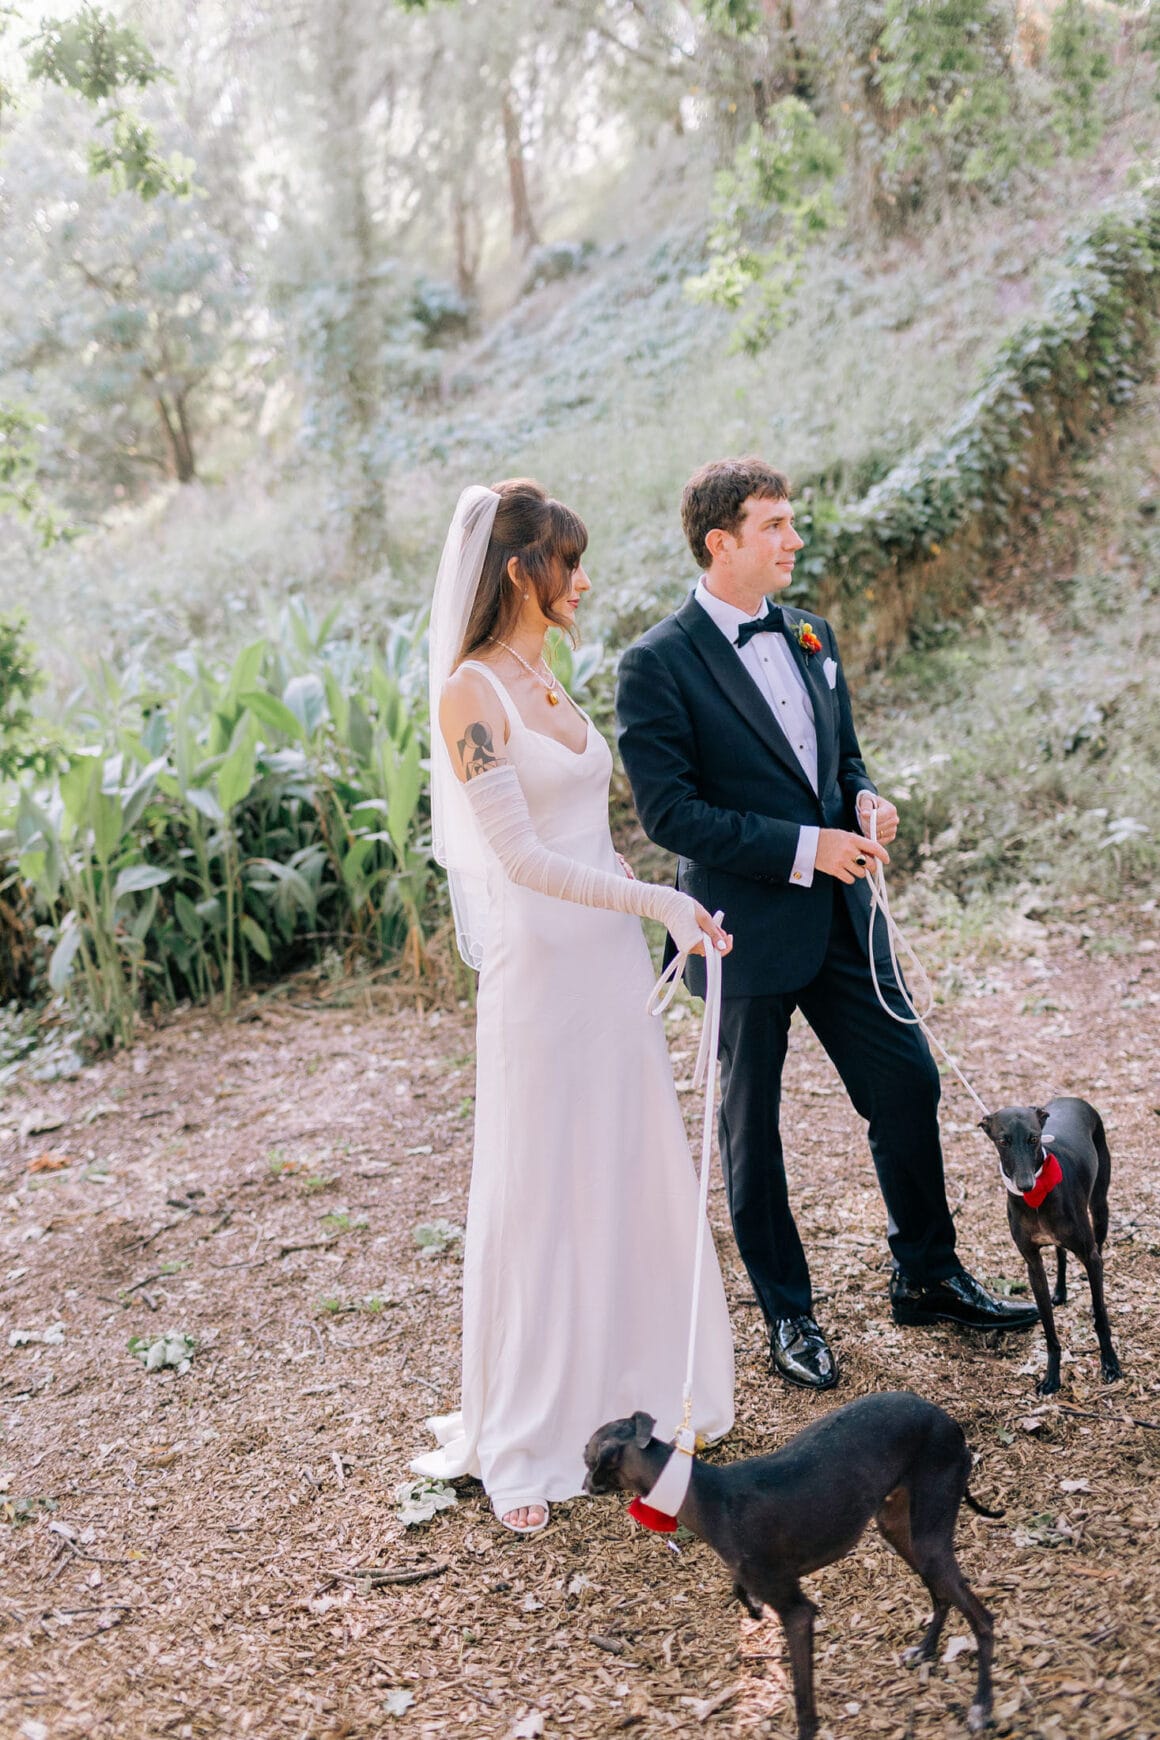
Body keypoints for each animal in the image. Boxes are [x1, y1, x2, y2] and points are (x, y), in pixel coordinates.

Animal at [584, 1391, 997, 1738]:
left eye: (587, 1457)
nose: (585, 1484)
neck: (705, 1494)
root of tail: (950, 1423)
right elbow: (740, 1587)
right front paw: (752, 1608)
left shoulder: (798, 1614)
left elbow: (802, 1698)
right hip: (900, 1529)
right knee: (941, 1594)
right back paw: (925, 1650)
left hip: (929, 1535)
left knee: (982, 1618)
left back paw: (981, 1708)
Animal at [978, 1097, 1121, 1397]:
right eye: (1003, 1141)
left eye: (1033, 1139)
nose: (1025, 1185)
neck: (1036, 1199)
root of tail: (1072, 1099)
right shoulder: (1033, 1265)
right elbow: (1048, 1327)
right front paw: (1052, 1376)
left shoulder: (1090, 1256)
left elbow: (1101, 1316)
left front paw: (1110, 1362)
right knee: (1060, 1253)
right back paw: (1061, 1291)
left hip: (1099, 1207)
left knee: (1098, 1256)